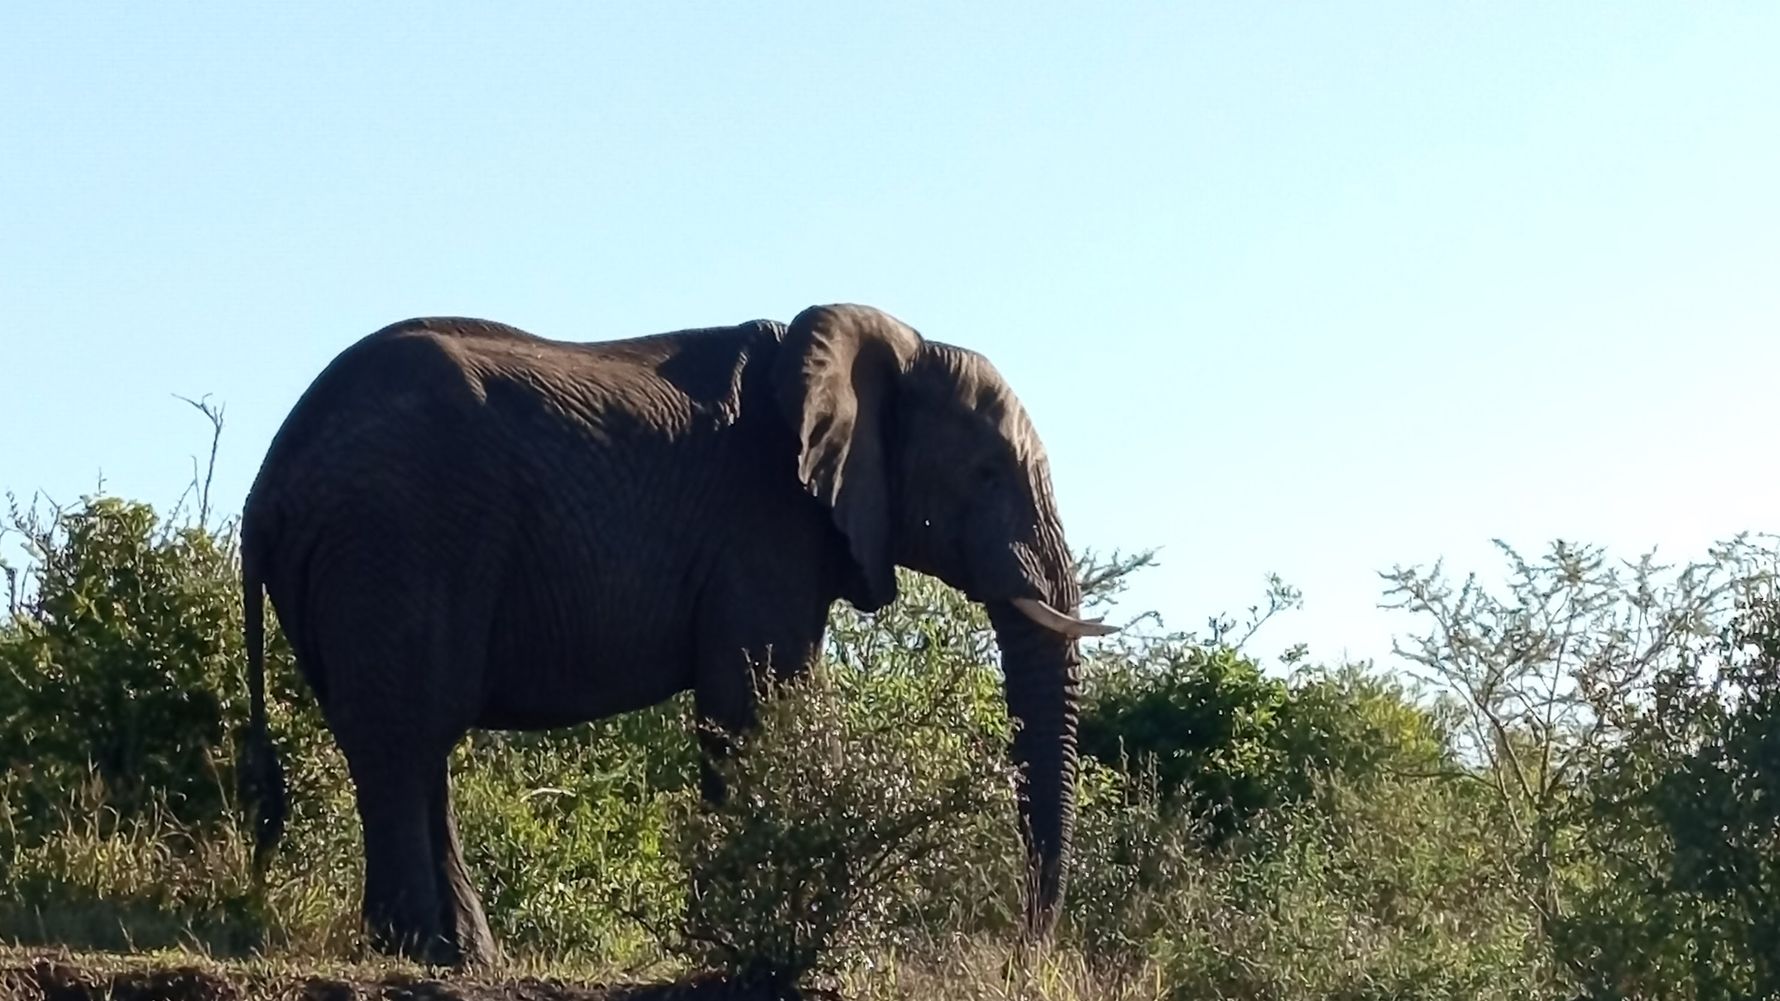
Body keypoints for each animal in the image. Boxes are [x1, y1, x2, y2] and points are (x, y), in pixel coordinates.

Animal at [236, 303, 1115, 966]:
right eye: (987, 474)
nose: (1023, 951)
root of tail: (268, 480)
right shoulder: (761, 523)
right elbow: (753, 706)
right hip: (395, 535)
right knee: (404, 739)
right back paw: (422, 954)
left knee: (414, 747)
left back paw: (465, 956)